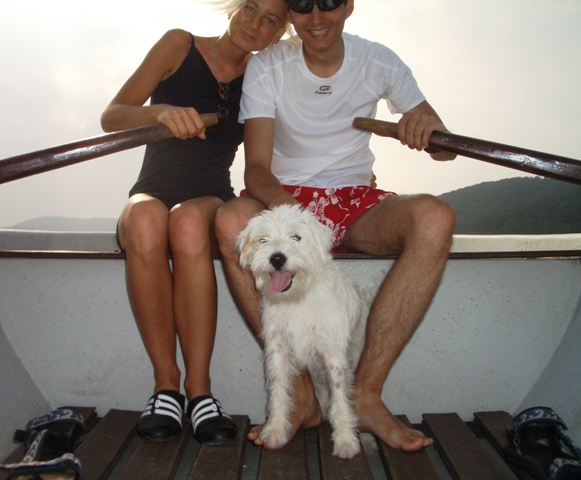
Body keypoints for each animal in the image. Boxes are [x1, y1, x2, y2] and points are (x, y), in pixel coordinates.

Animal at [237, 203, 368, 458]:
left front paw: (345, 440)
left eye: (296, 237)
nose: (277, 258)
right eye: (263, 240)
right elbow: (278, 392)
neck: (297, 298)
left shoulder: (333, 355)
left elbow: (340, 398)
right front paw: (275, 430)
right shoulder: (277, 350)